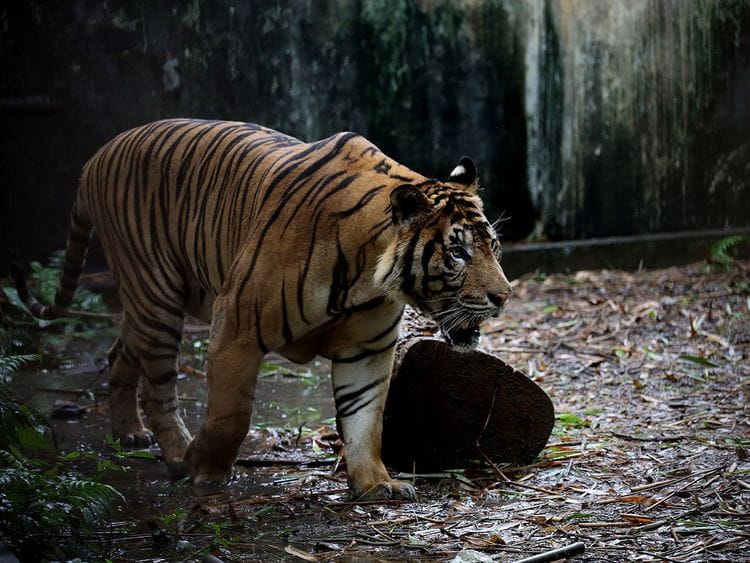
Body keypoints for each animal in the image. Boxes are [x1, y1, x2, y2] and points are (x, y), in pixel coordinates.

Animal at [13, 119, 512, 500]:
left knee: (119, 353)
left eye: (494, 246)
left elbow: (365, 418)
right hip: (155, 294)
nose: (504, 296)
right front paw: (205, 471)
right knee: (159, 387)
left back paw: (128, 433)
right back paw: (175, 453)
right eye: (458, 253)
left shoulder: (367, 349)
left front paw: (375, 483)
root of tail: (96, 156)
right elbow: (231, 414)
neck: (367, 277)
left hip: (145, 305)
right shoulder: (235, 326)